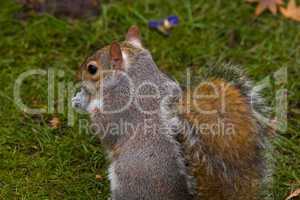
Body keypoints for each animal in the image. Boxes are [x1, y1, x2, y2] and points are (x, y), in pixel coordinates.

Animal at [72, 25, 272, 199]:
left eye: (92, 69)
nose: (78, 74)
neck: (136, 77)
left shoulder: (119, 107)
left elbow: (107, 131)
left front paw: (84, 101)